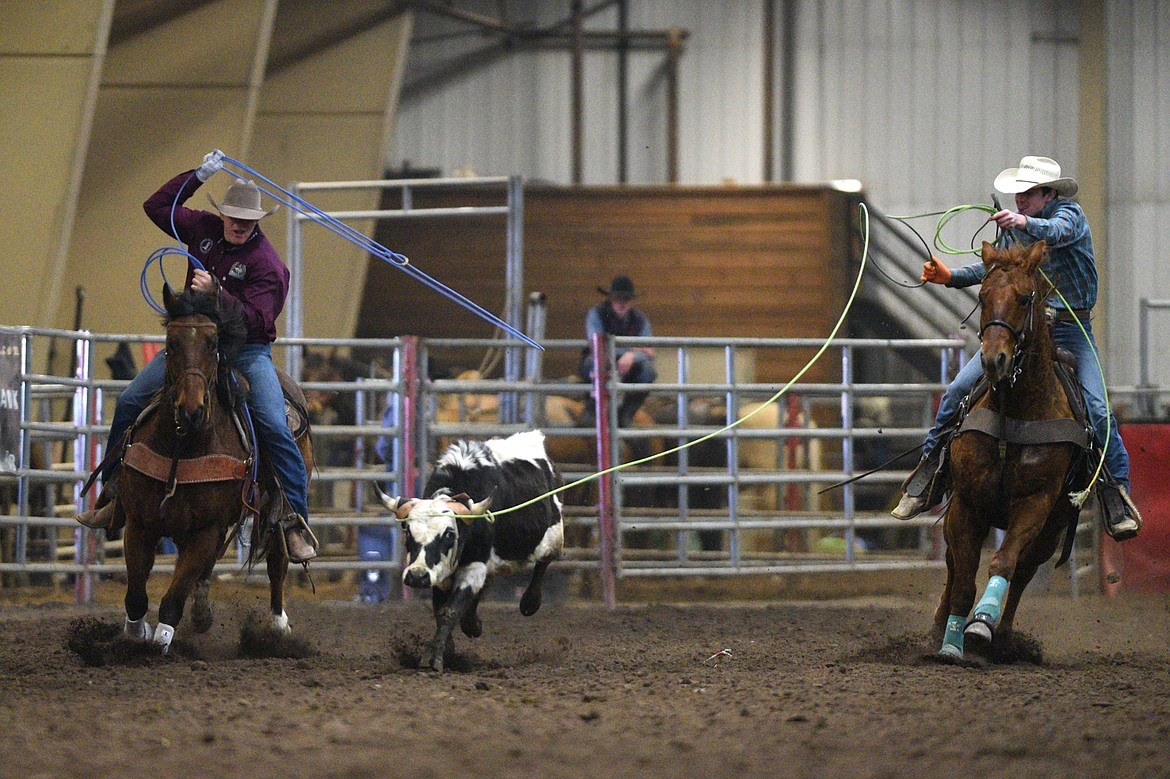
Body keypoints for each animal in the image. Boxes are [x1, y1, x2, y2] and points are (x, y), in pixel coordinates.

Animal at [116, 285, 313, 650]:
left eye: (212, 344)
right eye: (171, 344)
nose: (191, 410)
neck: (182, 447)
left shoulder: (207, 530)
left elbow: (173, 599)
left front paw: (161, 641)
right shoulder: (139, 523)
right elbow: (136, 596)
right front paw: (136, 636)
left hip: (276, 500)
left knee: (278, 556)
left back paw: (277, 626)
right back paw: (202, 612)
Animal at [935, 239, 1090, 659]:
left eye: (1023, 298)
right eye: (982, 296)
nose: (994, 359)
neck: (1014, 414)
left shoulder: (1035, 504)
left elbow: (1003, 562)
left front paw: (980, 626)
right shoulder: (967, 503)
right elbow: (963, 576)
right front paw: (950, 642)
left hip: (1053, 528)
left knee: (1022, 572)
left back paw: (1001, 637)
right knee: (953, 564)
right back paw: (940, 625)